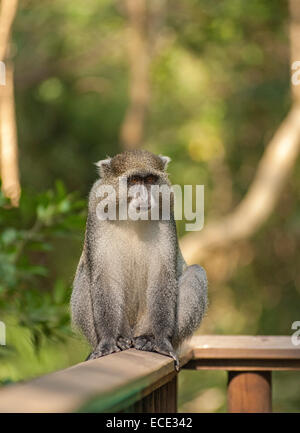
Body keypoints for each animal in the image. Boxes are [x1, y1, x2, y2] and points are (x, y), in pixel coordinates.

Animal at [70, 148, 207, 368]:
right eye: (134, 180)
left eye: (150, 179)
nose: (144, 197)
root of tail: (133, 332)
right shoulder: (97, 218)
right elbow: (104, 277)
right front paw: (108, 341)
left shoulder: (165, 217)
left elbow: (162, 276)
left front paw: (160, 341)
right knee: (85, 276)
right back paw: (118, 340)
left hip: (146, 322)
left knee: (196, 272)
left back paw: (149, 338)